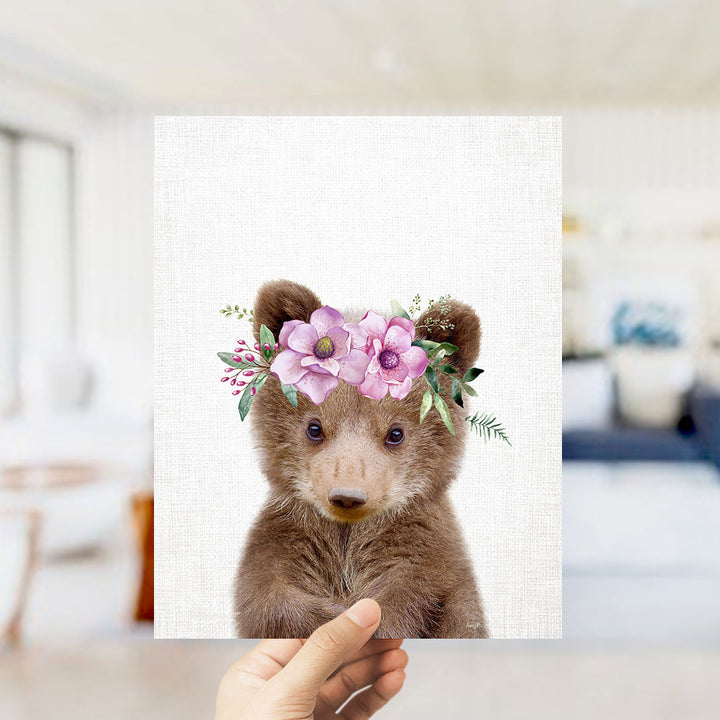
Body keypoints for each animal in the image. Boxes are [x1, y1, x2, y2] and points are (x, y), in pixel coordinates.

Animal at [233, 280, 488, 638]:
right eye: (314, 427)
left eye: (395, 433)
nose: (347, 496)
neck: (347, 537)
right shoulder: (288, 537)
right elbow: (270, 597)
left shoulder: (422, 550)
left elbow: (412, 596)